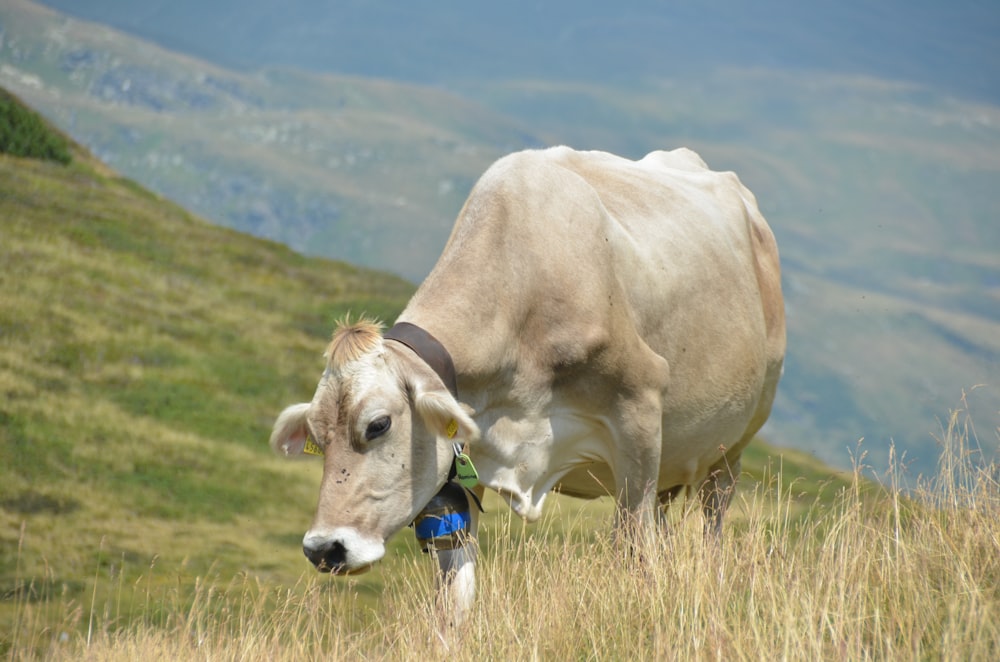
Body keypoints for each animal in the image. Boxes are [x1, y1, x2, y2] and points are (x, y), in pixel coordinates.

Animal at [270, 145, 784, 624]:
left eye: (378, 424)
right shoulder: (458, 466)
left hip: (732, 446)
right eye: (317, 436)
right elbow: (454, 595)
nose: (323, 548)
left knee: (712, 521)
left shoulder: (639, 414)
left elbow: (636, 551)